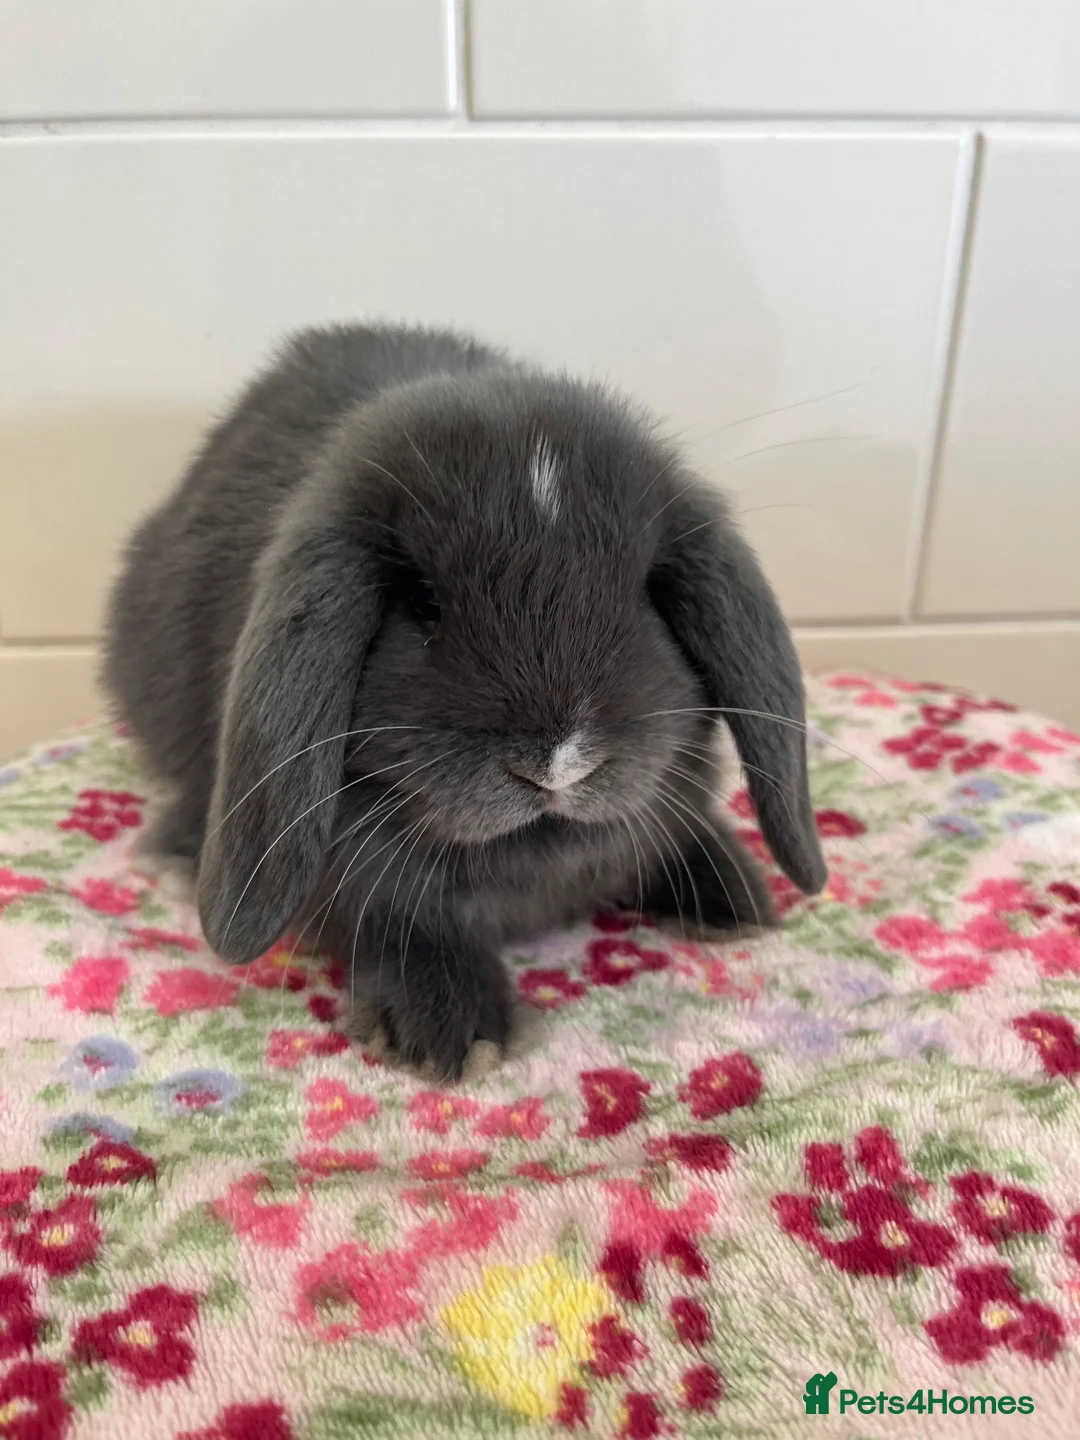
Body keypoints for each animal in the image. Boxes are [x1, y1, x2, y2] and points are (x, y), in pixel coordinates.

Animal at [103, 321, 827, 1081]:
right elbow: (399, 920)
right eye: (424, 599)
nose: (559, 762)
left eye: (643, 593)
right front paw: (447, 1032)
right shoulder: (370, 885)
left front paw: (734, 897)